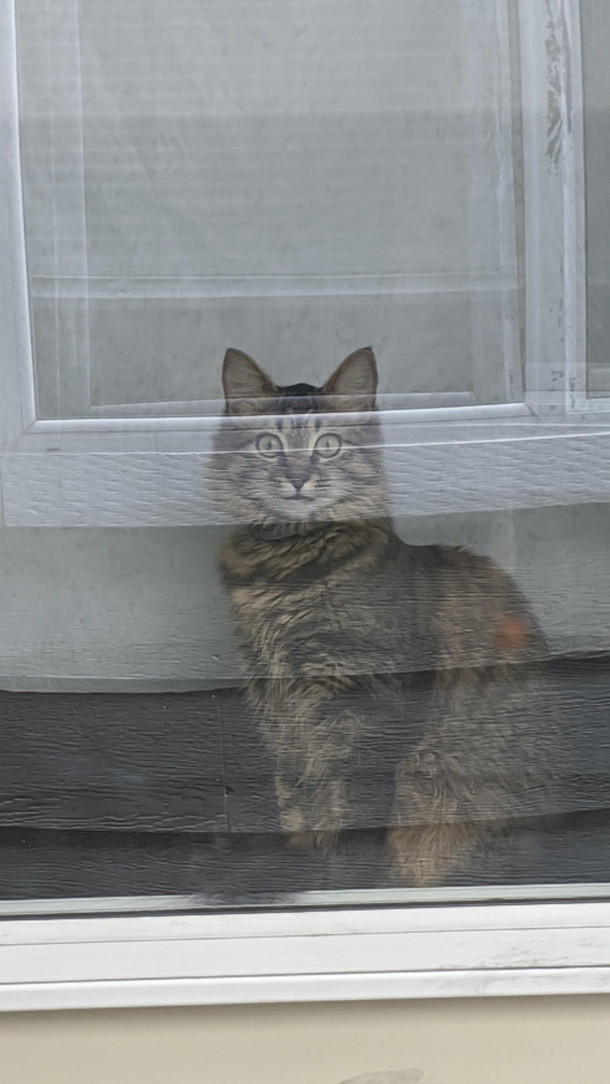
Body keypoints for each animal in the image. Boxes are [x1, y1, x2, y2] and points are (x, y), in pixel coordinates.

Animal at [211, 342, 563, 884]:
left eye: (329, 445)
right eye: (269, 445)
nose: (297, 478)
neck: (283, 573)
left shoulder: (361, 702)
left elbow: (348, 811)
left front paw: (333, 881)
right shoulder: (276, 701)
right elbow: (295, 800)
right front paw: (299, 859)